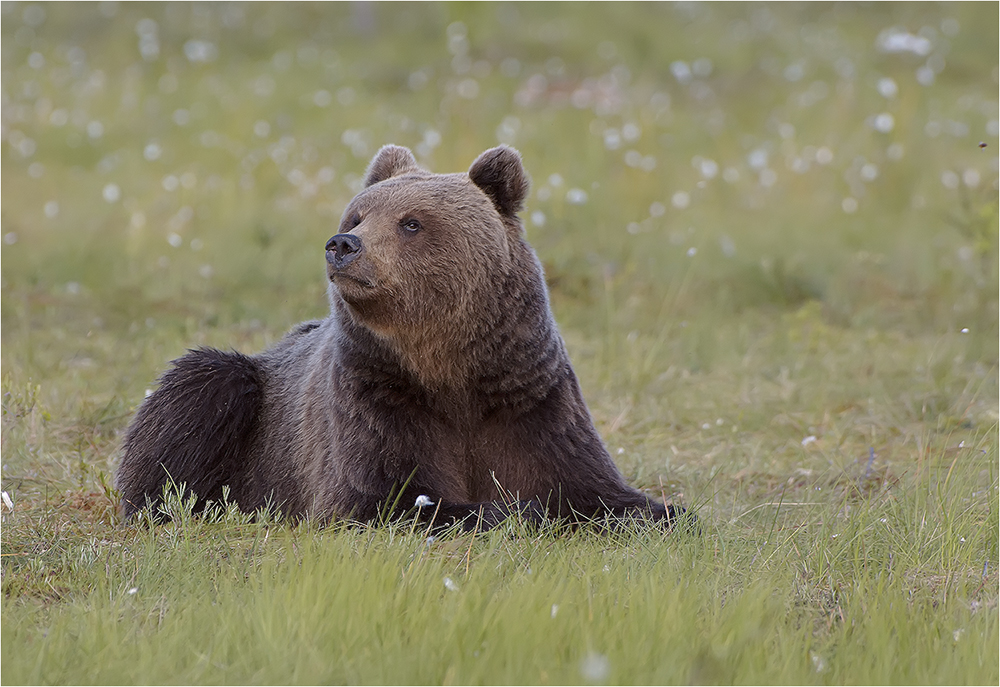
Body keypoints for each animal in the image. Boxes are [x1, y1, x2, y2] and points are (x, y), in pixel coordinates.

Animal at [113, 145, 684, 532]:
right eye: (359, 214)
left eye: (411, 222)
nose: (343, 244)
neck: (449, 370)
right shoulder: (378, 396)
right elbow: (391, 495)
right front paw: (508, 509)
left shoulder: (529, 398)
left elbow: (593, 488)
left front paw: (665, 511)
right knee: (201, 387)